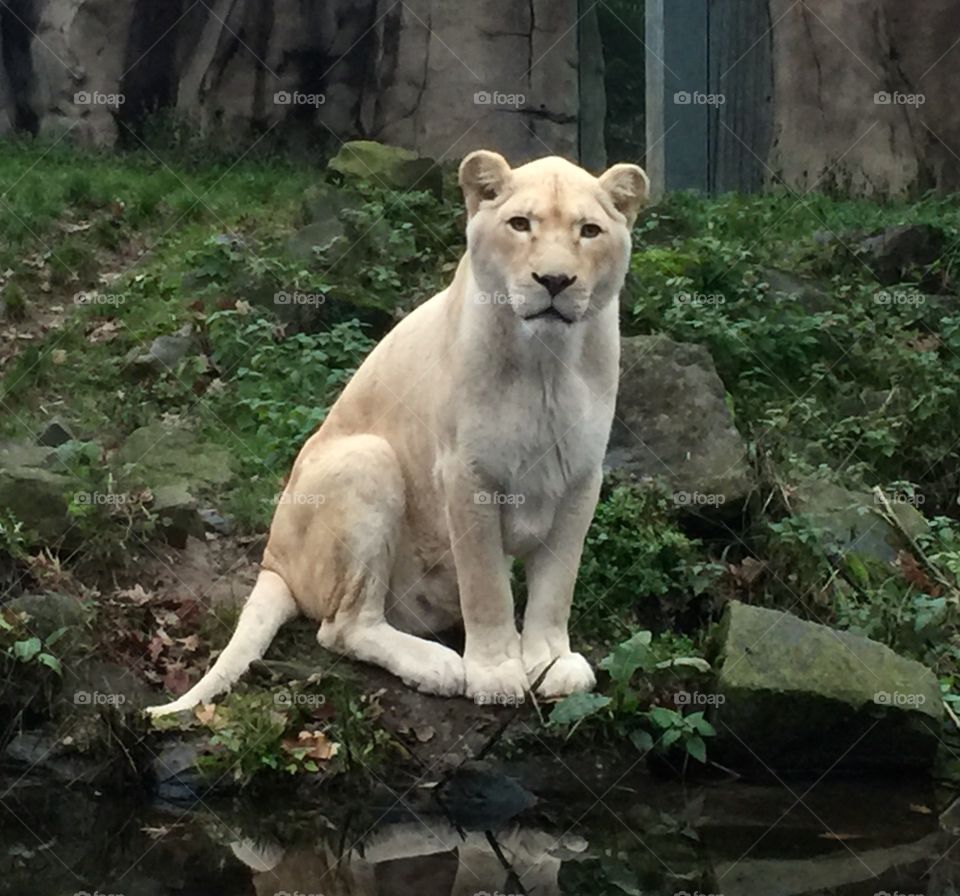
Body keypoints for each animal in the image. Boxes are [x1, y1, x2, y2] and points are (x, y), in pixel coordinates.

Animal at [147, 150, 648, 716]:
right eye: (520, 224)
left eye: (590, 231)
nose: (555, 280)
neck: (545, 363)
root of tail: (273, 561)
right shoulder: (465, 473)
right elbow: (486, 584)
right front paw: (496, 672)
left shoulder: (580, 475)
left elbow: (557, 582)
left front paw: (551, 663)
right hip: (368, 458)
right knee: (341, 627)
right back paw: (439, 666)